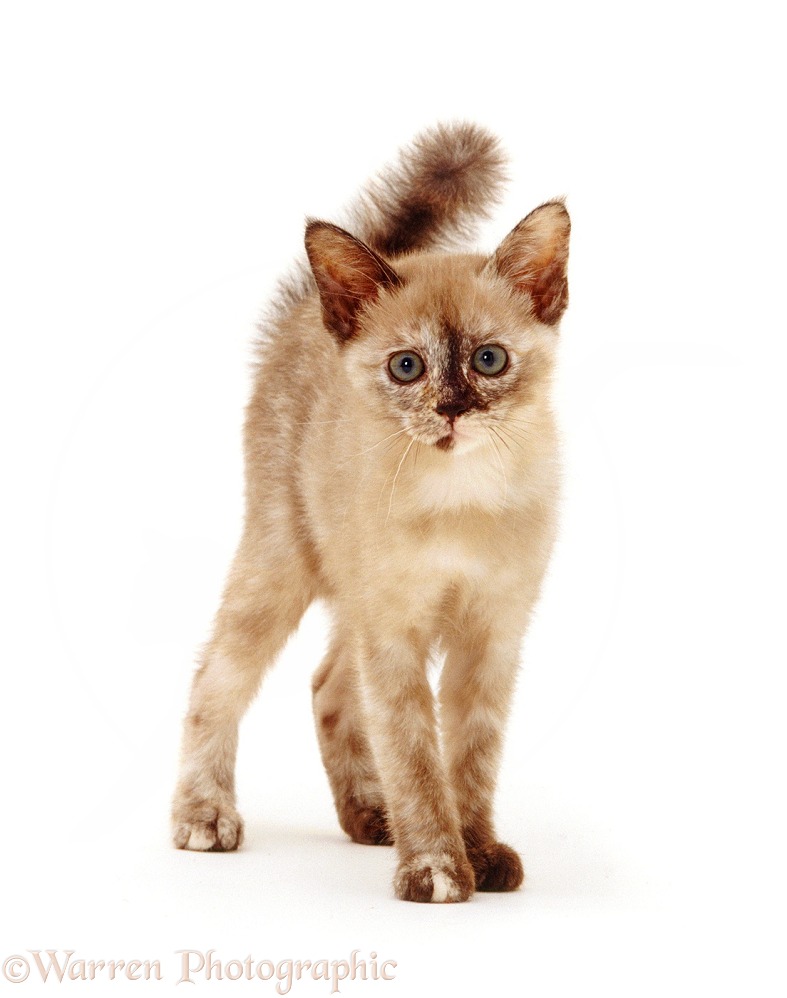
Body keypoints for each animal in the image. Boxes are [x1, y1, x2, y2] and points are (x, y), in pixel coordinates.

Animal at [172, 121, 568, 904]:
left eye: (488, 360)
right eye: (406, 367)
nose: (451, 410)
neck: (459, 495)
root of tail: (311, 309)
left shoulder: (491, 635)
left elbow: (470, 756)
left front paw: (477, 850)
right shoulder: (395, 633)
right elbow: (415, 754)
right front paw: (436, 866)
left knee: (326, 687)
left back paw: (365, 815)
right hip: (280, 564)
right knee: (214, 679)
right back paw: (205, 817)